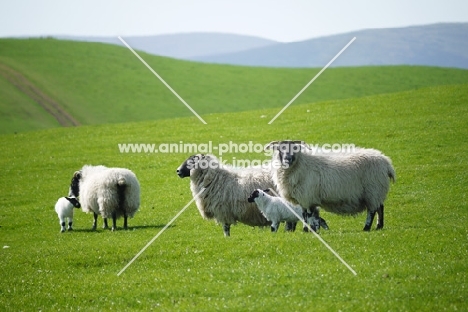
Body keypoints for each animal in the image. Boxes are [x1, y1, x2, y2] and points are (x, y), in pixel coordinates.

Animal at [266, 141, 394, 232]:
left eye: (295, 148)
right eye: (279, 149)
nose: (287, 159)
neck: (300, 163)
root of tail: (386, 162)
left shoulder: (307, 196)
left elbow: (308, 215)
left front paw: (308, 230)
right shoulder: (303, 198)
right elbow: (304, 215)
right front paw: (308, 230)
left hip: (373, 190)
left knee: (372, 210)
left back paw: (366, 228)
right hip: (376, 192)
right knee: (380, 207)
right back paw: (379, 226)